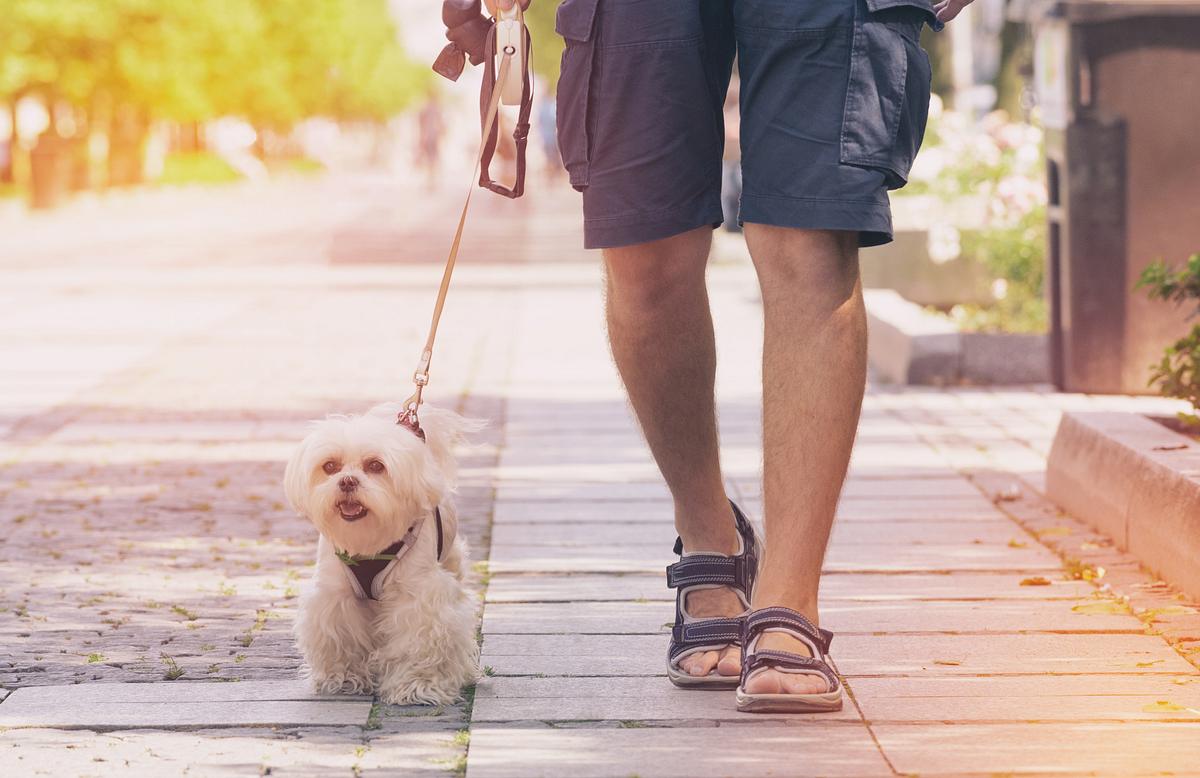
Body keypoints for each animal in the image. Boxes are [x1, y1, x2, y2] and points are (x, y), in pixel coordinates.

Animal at [283, 401, 480, 705]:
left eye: (376, 465)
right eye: (330, 466)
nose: (347, 481)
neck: (370, 543)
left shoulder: (418, 598)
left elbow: (419, 642)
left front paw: (418, 686)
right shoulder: (336, 596)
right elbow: (341, 637)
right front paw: (343, 679)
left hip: (451, 563)